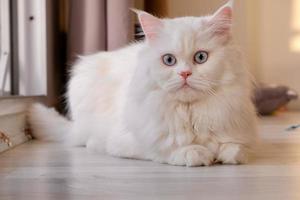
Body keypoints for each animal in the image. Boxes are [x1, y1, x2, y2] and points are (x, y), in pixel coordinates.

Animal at [28, 0, 258, 166]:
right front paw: (195, 153)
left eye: (201, 57)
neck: (189, 112)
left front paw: (227, 153)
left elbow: (236, 148)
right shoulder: (130, 142)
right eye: (169, 60)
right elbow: (164, 149)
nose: (184, 74)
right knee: (88, 141)